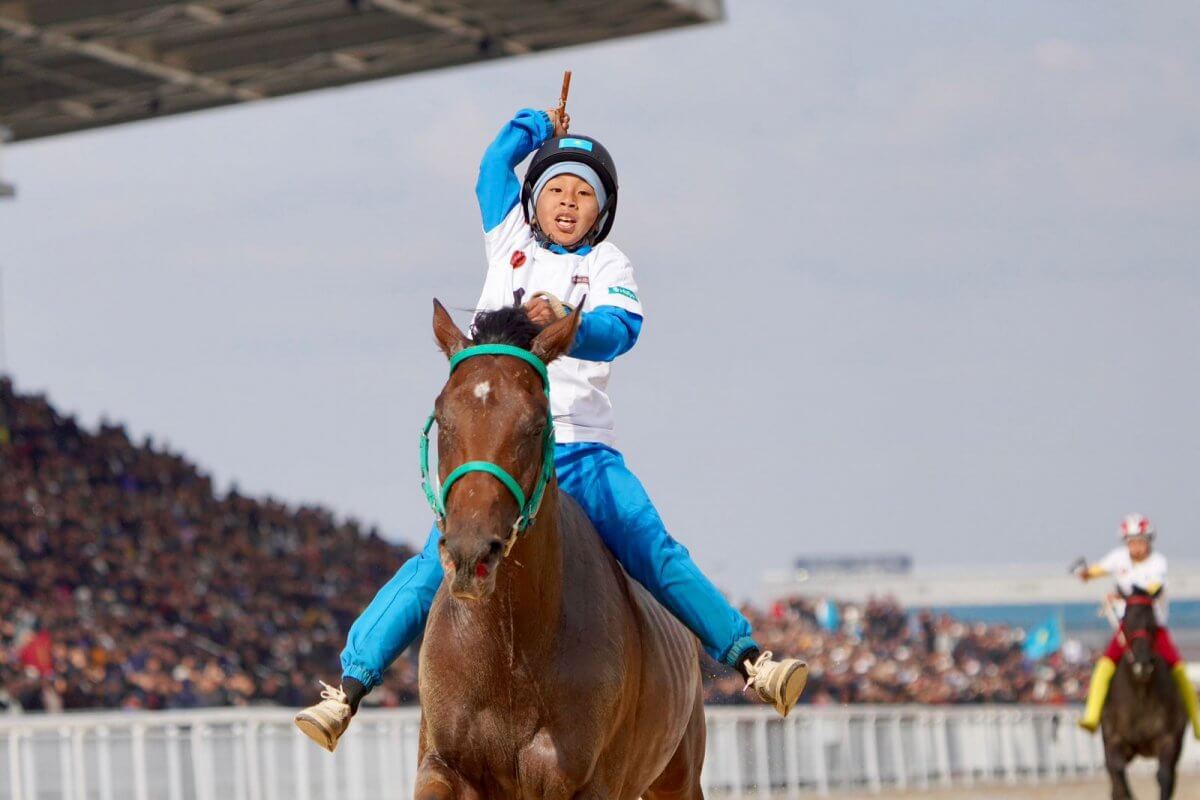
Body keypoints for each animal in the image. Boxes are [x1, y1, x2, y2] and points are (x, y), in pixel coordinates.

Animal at [417, 302, 705, 800]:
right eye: (444, 418)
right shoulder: (443, 763)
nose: (471, 556)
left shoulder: (586, 780)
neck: (510, 648)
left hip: (679, 777)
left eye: (535, 426)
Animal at [1099, 592, 1185, 796]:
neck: (1141, 695)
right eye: (1126, 621)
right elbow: (1118, 773)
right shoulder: (1114, 739)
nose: (1143, 663)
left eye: (1153, 623)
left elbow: (1164, 776)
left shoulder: (1168, 738)